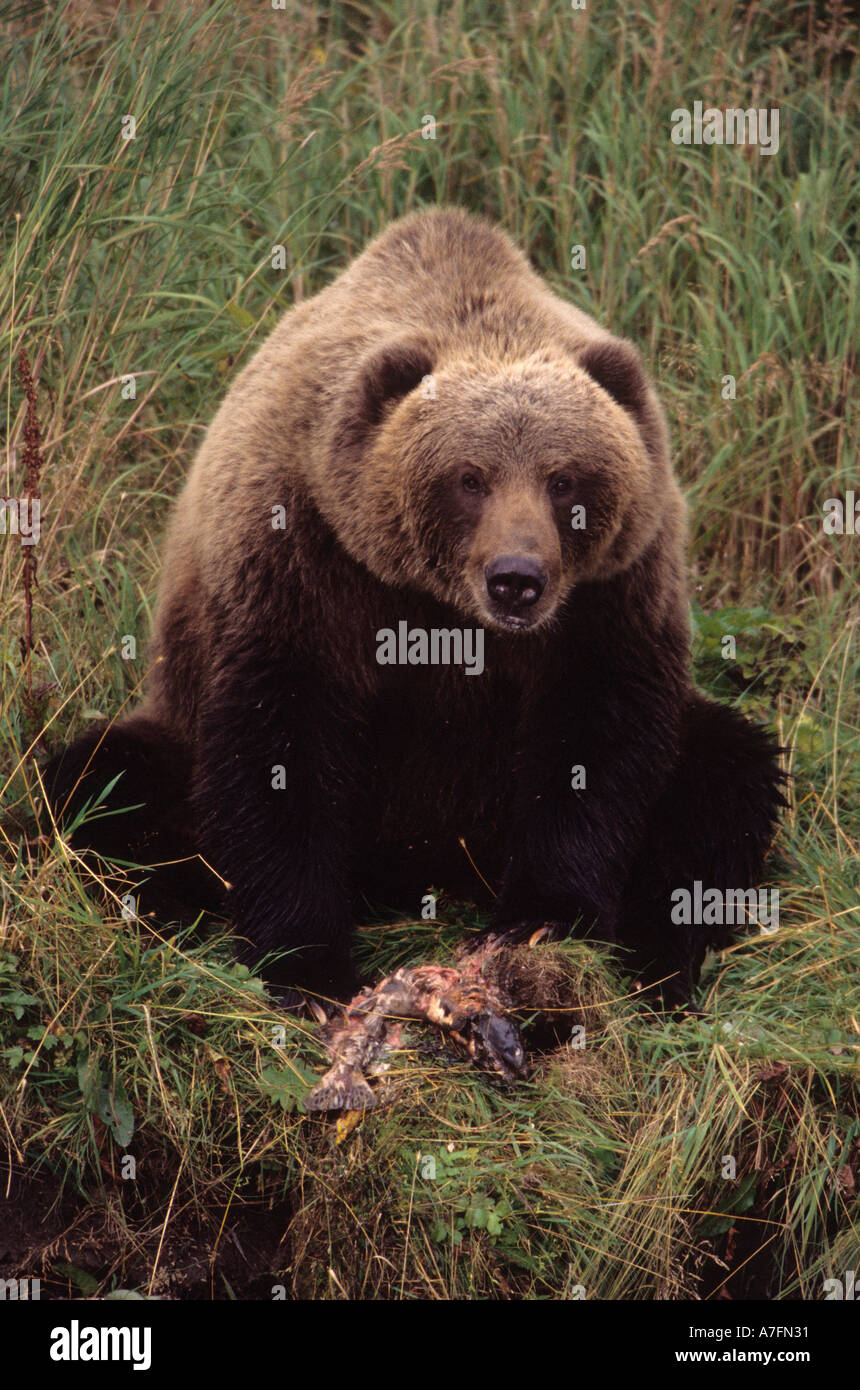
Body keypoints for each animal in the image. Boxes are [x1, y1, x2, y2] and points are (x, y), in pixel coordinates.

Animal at [48, 205, 789, 1006]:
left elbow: (597, 746)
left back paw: (658, 957)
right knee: (102, 779)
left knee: (727, 770)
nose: (517, 578)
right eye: (470, 476)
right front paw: (308, 961)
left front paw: (541, 923)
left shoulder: (613, 590)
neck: (443, 607)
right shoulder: (304, 558)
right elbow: (277, 747)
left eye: (564, 479)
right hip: (175, 734)